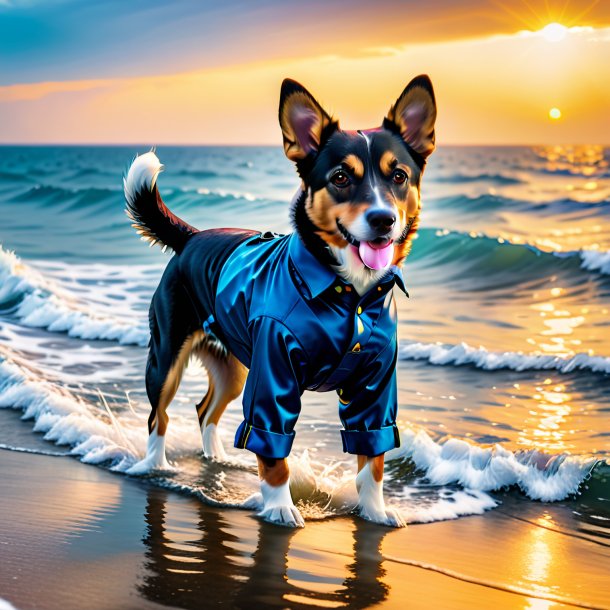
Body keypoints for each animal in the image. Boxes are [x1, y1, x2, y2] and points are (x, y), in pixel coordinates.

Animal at [123, 73, 434, 524]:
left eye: (399, 177)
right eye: (341, 177)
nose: (383, 220)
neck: (348, 292)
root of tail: (192, 237)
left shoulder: (375, 386)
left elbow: (372, 457)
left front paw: (375, 510)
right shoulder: (272, 377)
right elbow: (273, 451)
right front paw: (280, 506)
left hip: (235, 368)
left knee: (205, 410)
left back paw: (216, 459)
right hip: (167, 357)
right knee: (158, 415)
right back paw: (155, 466)